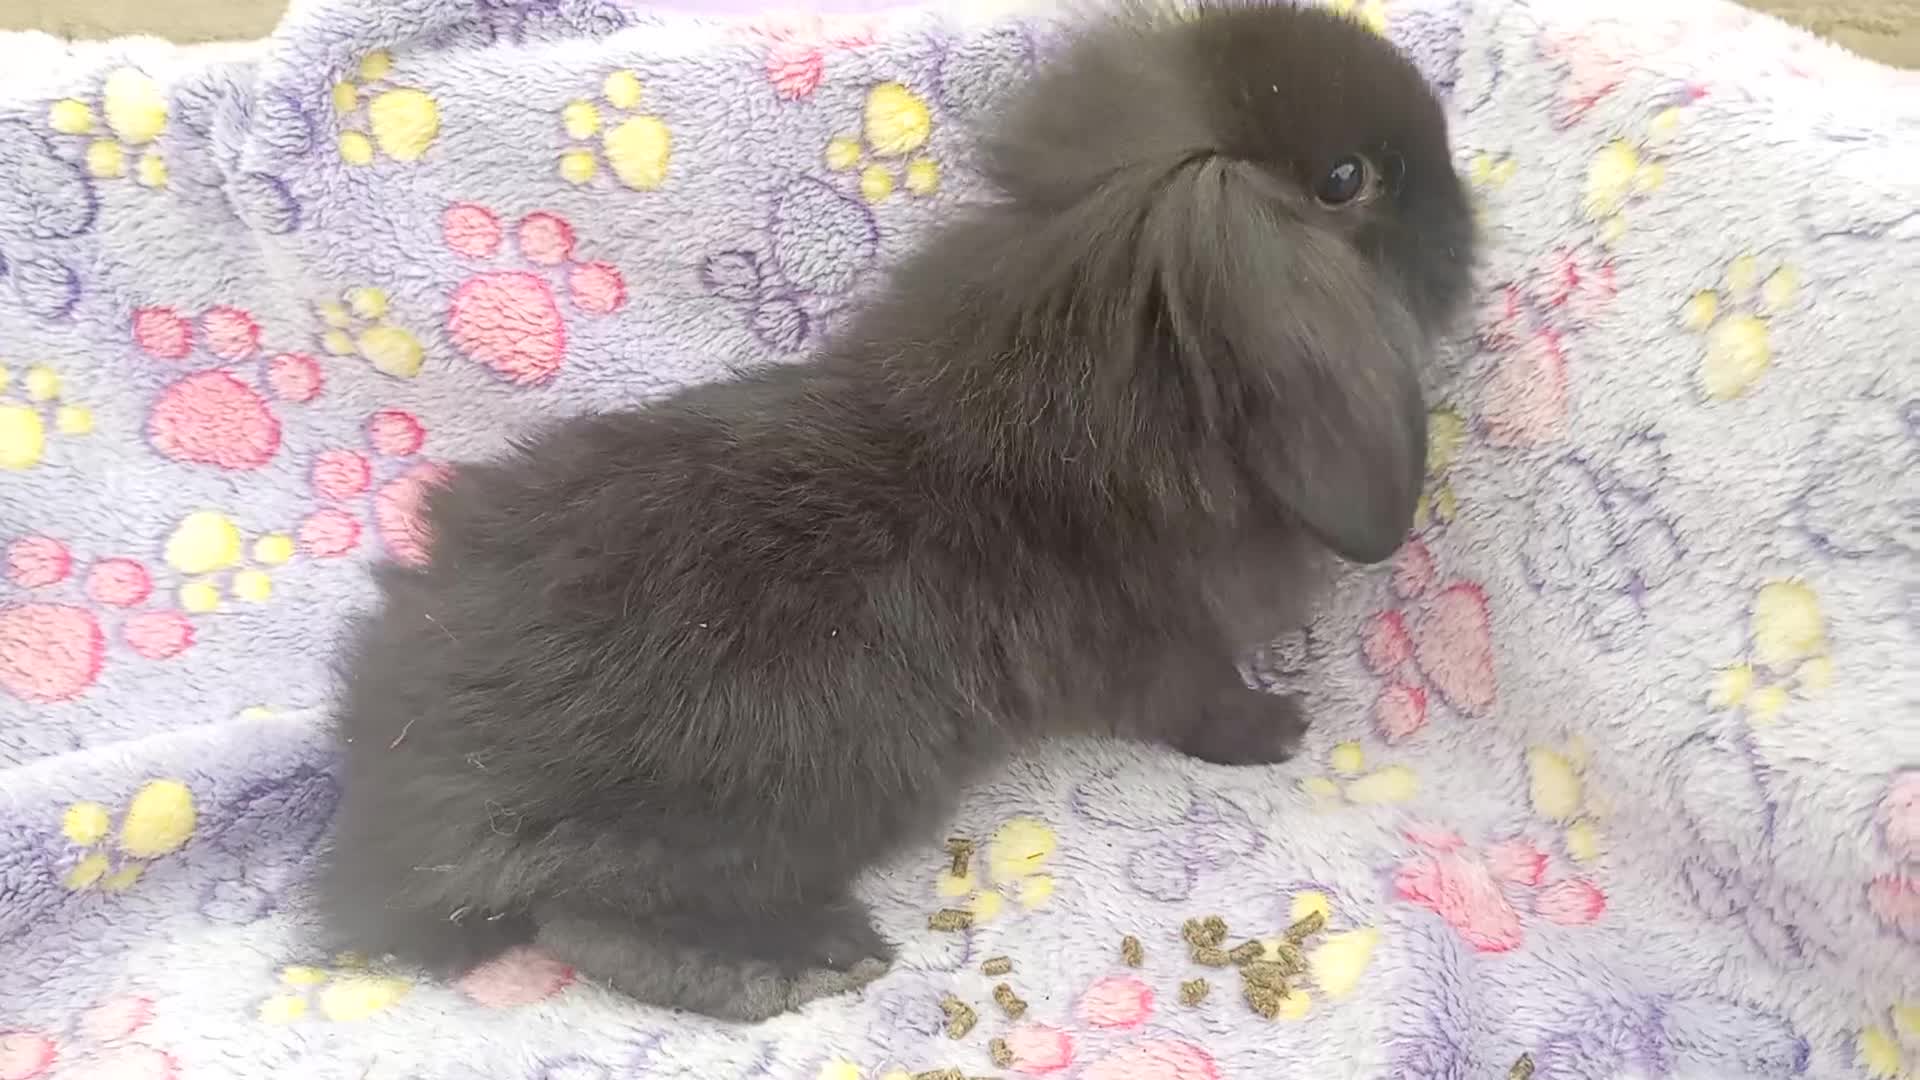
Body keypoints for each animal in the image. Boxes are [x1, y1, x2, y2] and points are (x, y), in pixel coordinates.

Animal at [313, 0, 1475, 1023]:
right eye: (1346, 180)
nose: (1465, 207)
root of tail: (398, 797)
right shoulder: (1167, 643)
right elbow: (1200, 704)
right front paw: (1278, 731)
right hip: (787, 793)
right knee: (587, 916)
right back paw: (804, 964)